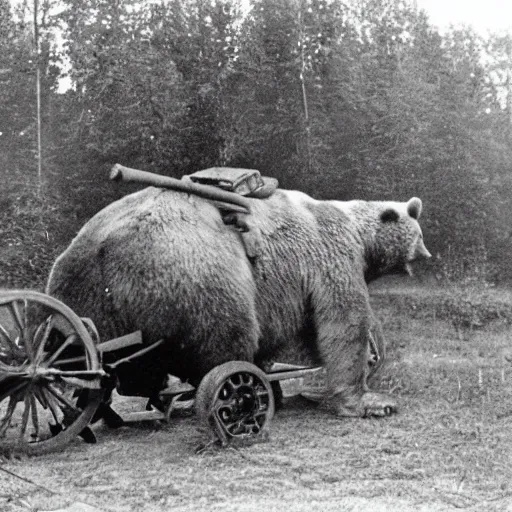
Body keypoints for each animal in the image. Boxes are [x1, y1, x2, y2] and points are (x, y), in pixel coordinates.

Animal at [47, 186, 432, 418]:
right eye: (420, 233)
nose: (428, 254)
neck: (358, 232)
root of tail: (106, 245)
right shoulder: (329, 256)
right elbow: (342, 322)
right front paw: (370, 400)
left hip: (82, 290)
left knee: (91, 355)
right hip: (198, 272)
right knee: (227, 336)